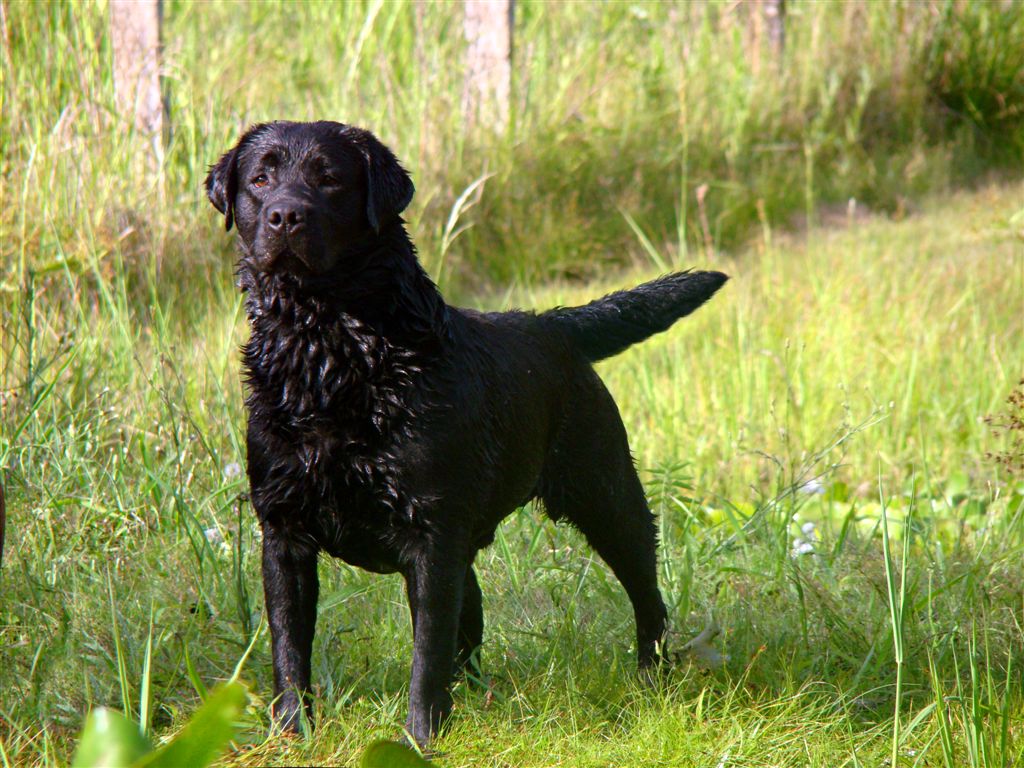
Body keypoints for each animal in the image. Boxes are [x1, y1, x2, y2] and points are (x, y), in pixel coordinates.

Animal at [206, 120, 727, 746]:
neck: (331, 359)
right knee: (471, 626)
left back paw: (653, 675)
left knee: (646, 592)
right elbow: (289, 647)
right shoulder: (284, 533)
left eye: (328, 179)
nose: (285, 215)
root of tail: (553, 323)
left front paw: (419, 738)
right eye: (260, 180)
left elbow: (426, 654)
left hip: (607, 497)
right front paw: (292, 734)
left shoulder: (431, 538)